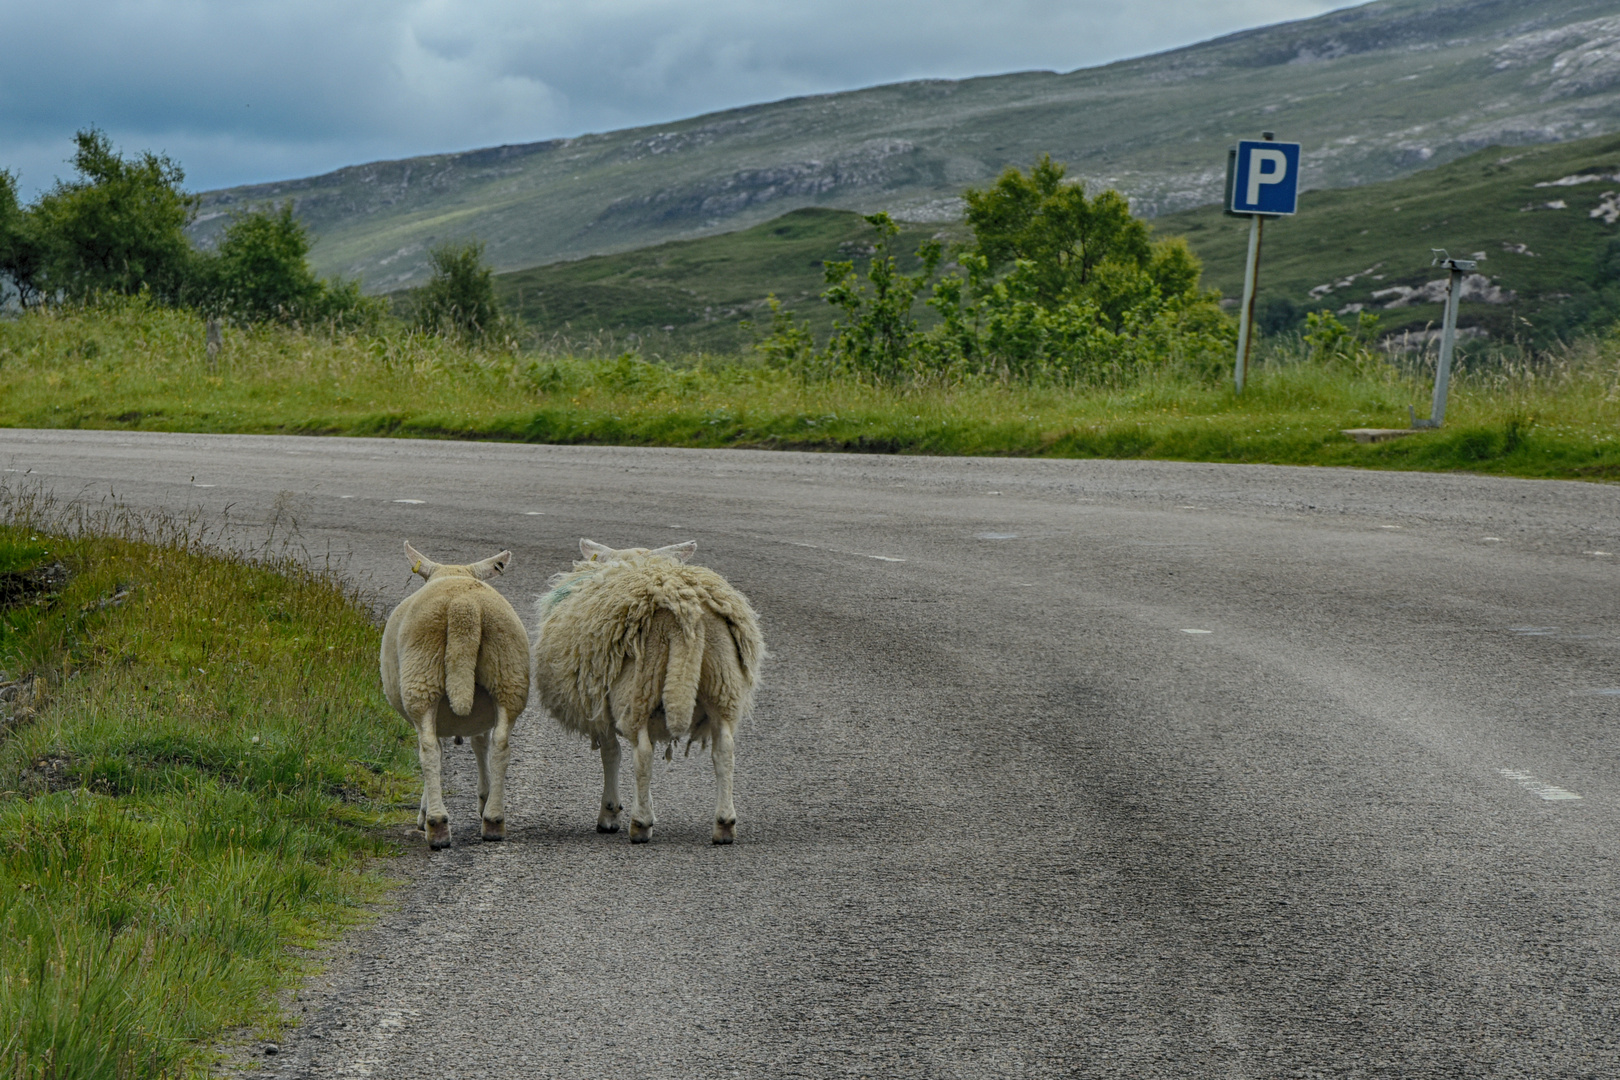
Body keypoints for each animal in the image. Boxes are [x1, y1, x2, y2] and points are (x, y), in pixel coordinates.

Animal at [379, 544, 531, 848]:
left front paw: (424, 810)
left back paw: (436, 824)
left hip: (421, 679)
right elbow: (481, 744)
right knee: (501, 745)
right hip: (508, 674)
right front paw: (483, 798)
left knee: (428, 751)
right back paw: (494, 820)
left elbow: (437, 750)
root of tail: (464, 607)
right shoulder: (482, 714)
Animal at [528, 540, 761, 841]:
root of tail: (685, 614)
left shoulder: (600, 706)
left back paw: (640, 823)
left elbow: (611, 753)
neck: (636, 562)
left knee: (643, 753)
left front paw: (611, 813)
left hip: (637, 687)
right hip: (723, 683)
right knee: (724, 750)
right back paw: (724, 824)